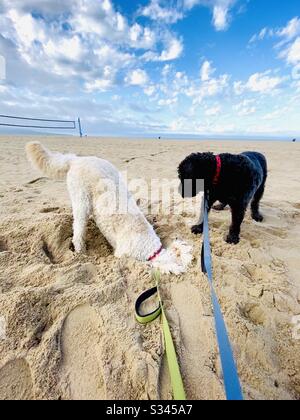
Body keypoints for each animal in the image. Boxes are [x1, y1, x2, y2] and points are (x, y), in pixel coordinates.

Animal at [26, 144, 192, 276]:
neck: (148, 246)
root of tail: (76, 159)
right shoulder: (122, 255)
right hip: (81, 199)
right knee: (78, 229)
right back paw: (81, 252)